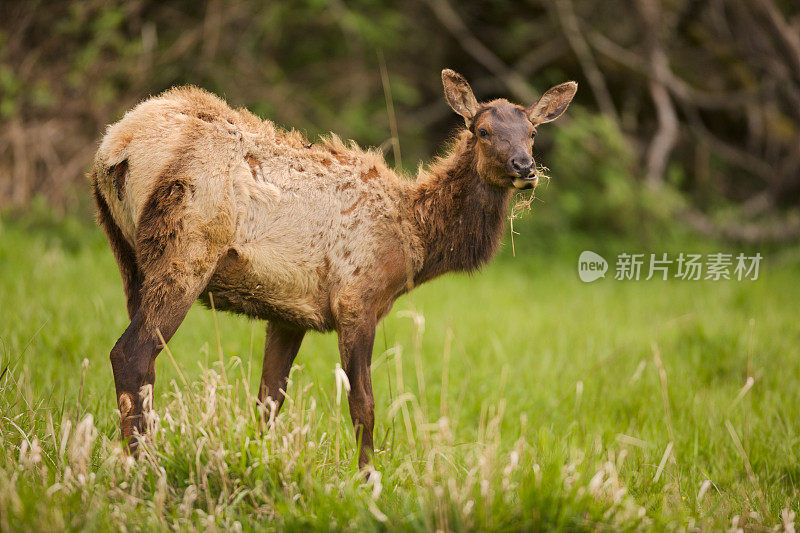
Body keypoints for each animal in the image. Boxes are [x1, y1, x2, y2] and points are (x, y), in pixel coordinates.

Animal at [92, 69, 576, 466]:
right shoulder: (357, 297)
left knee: (144, 363)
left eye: (532, 132)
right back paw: (142, 466)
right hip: (187, 250)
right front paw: (367, 478)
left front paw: (259, 461)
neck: (414, 241)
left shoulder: (288, 311)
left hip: (128, 258)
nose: (525, 167)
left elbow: (269, 399)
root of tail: (115, 148)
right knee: (131, 353)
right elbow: (364, 404)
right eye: (482, 130)